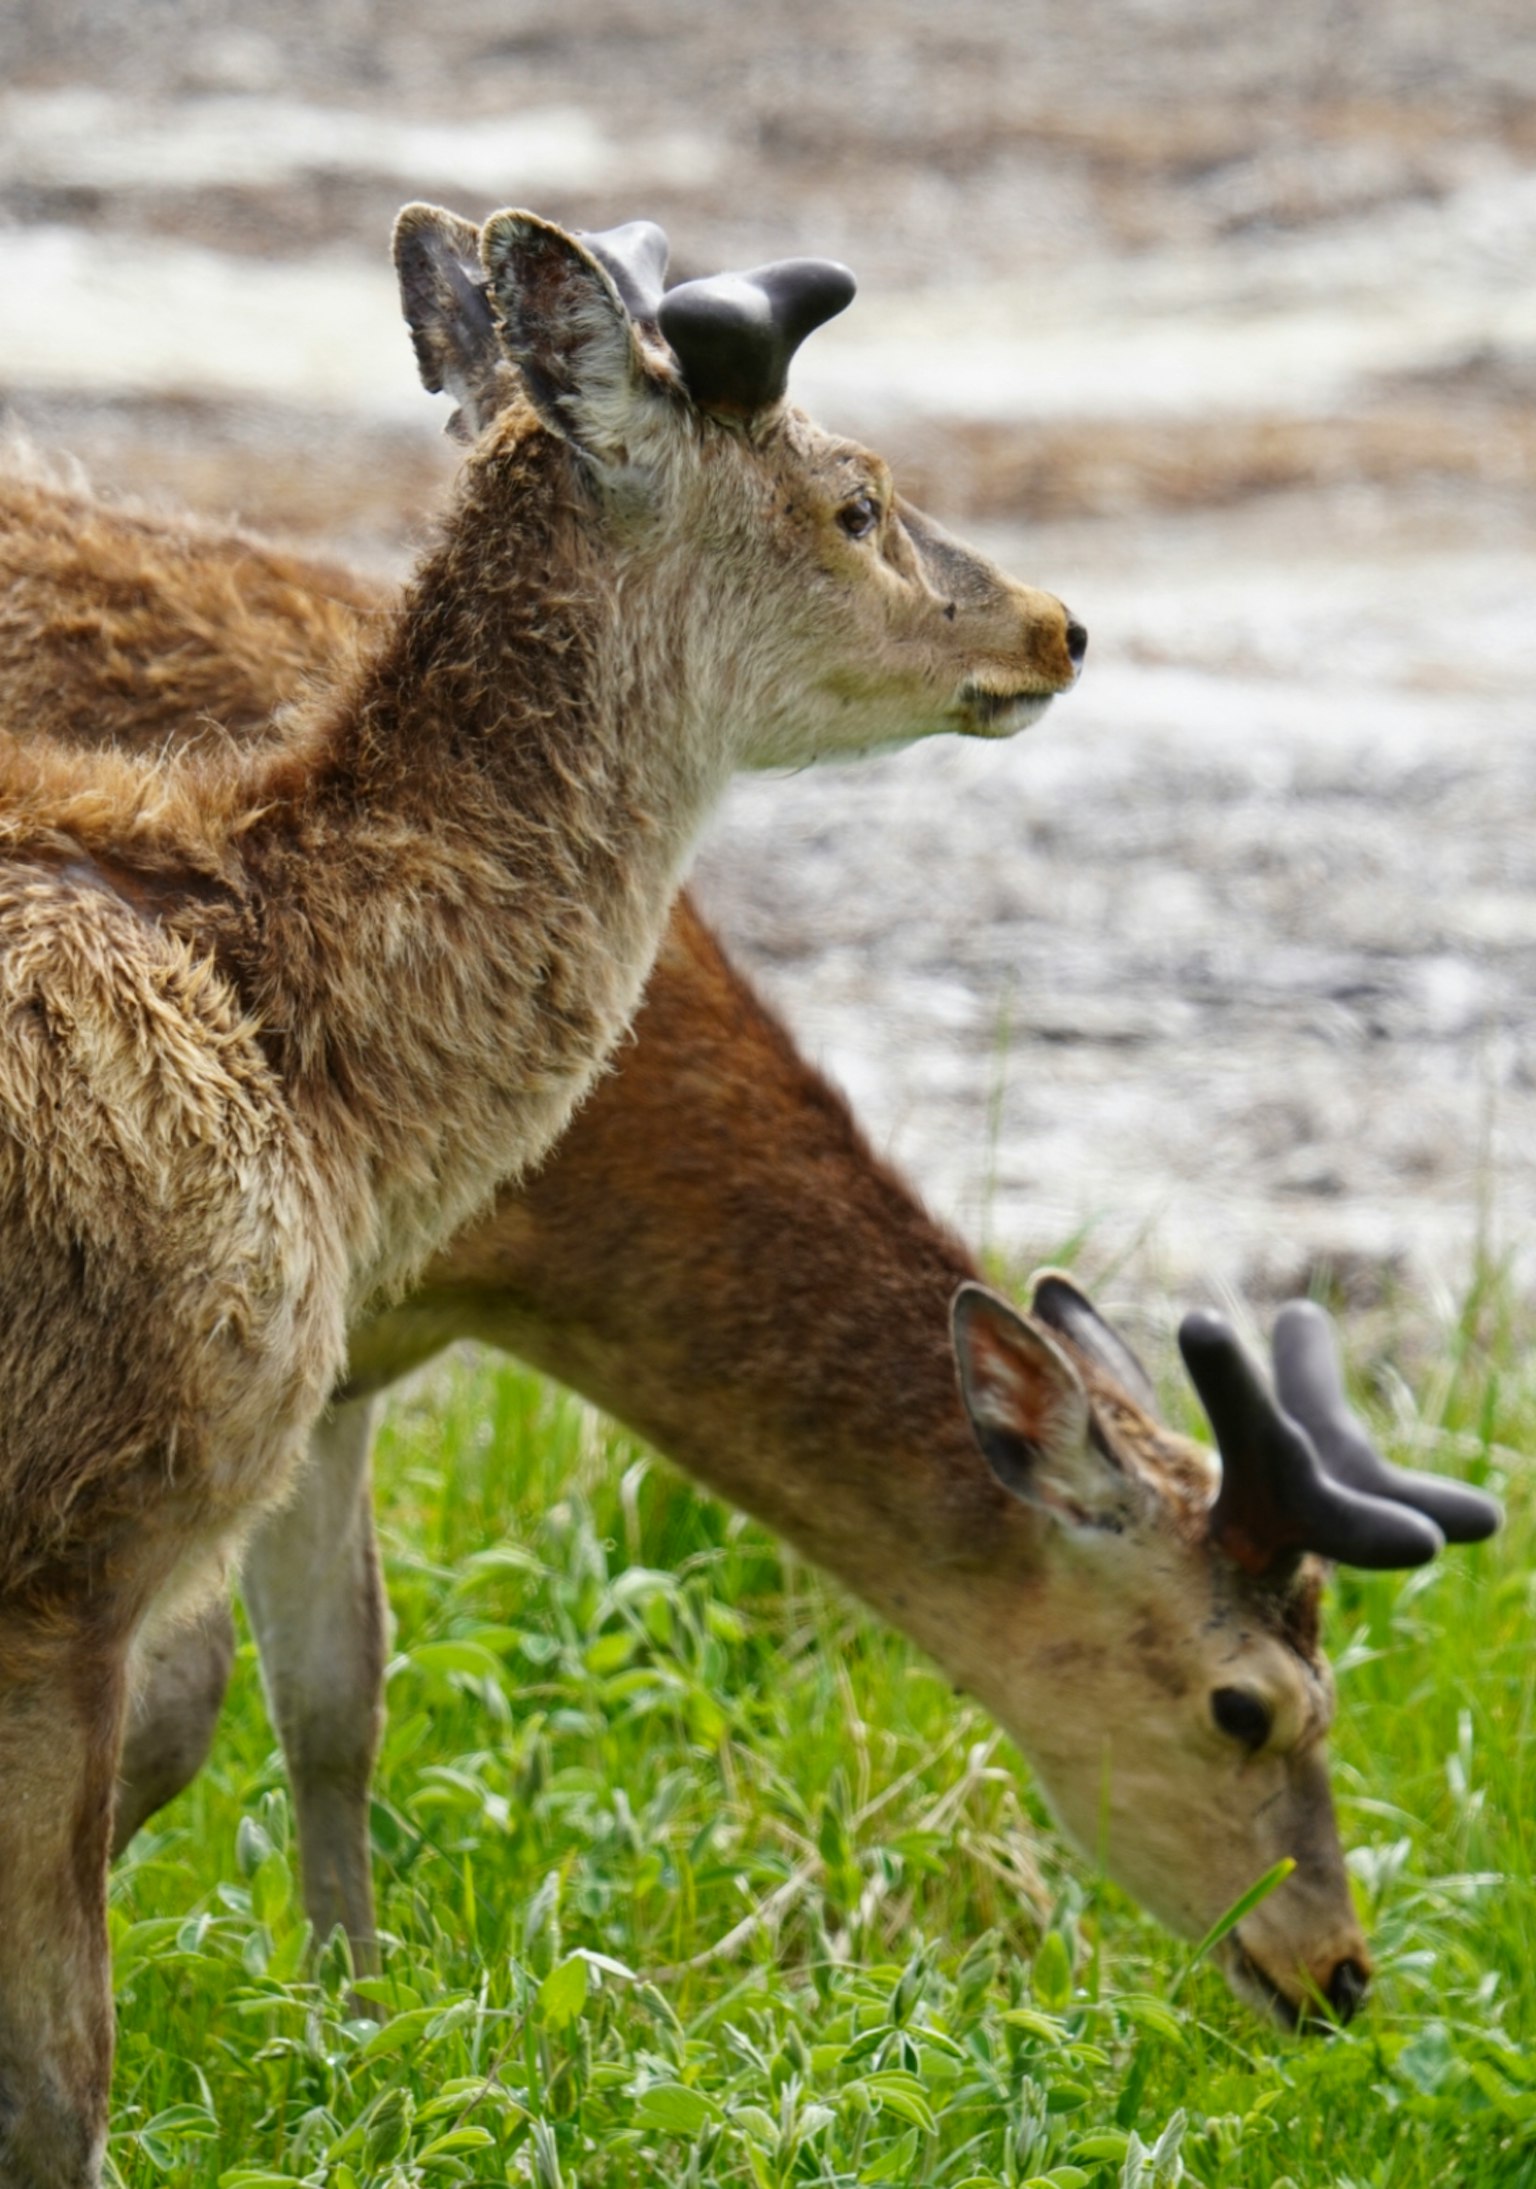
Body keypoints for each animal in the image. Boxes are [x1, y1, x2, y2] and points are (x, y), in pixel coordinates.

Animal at [0, 449, 1496, 2056]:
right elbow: (186, 1708)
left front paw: (355, 2021)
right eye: (1246, 1704)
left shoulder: (343, 1367)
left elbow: (335, 1699)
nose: (1335, 1970)